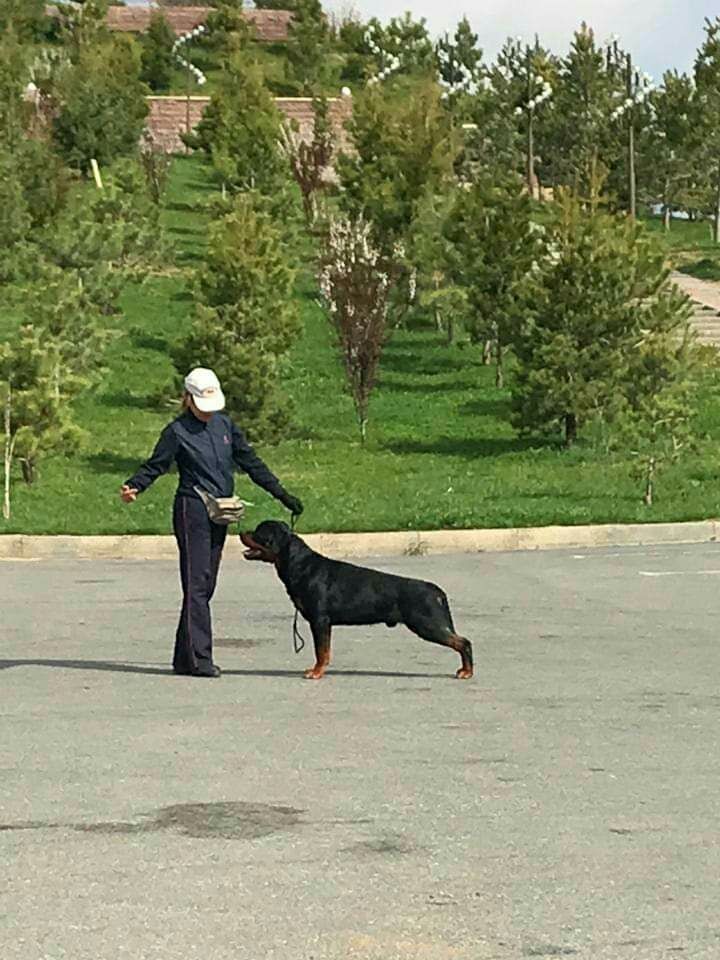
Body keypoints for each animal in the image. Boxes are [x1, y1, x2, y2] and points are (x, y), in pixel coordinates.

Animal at [239, 520, 470, 680]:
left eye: (259, 533)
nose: (241, 532)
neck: (299, 564)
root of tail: (436, 591)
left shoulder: (320, 620)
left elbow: (321, 651)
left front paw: (316, 672)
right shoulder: (323, 622)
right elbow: (324, 650)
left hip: (427, 625)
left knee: (464, 642)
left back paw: (466, 672)